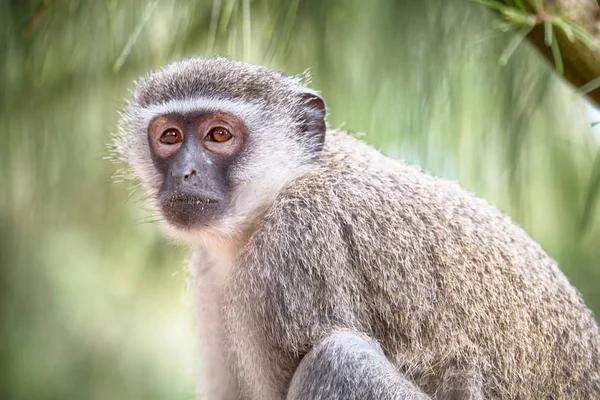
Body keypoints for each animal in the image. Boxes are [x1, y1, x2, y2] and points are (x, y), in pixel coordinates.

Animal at [113, 57, 600, 398]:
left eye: (218, 135)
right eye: (171, 137)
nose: (186, 173)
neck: (276, 194)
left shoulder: (295, 248)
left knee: (338, 359)